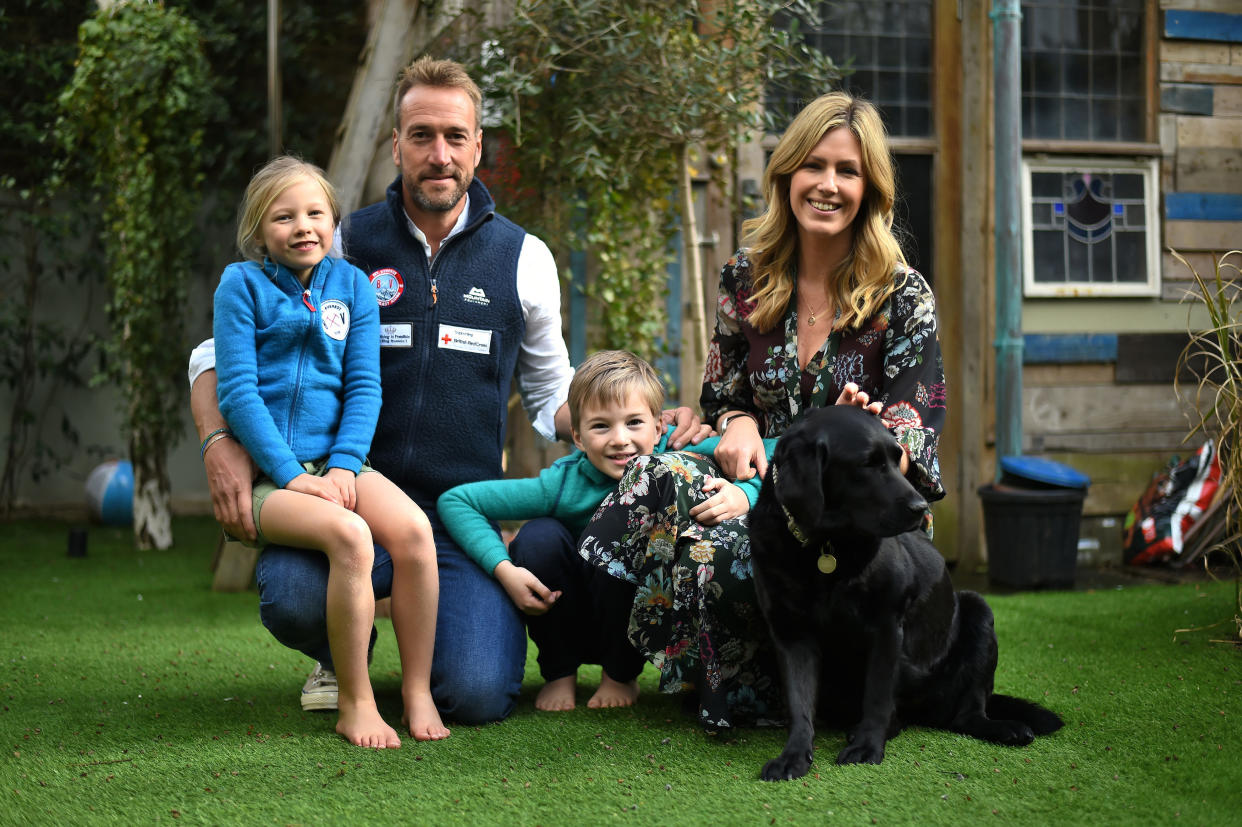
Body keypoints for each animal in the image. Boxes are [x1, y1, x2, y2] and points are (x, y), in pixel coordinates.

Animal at [745, 404, 1058, 779]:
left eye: (898, 460)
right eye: (868, 464)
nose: (920, 507)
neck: (826, 545)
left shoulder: (886, 626)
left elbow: (878, 695)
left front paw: (867, 747)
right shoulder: (792, 633)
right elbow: (799, 703)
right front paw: (793, 755)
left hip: (978, 612)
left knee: (965, 715)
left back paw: (1004, 728)